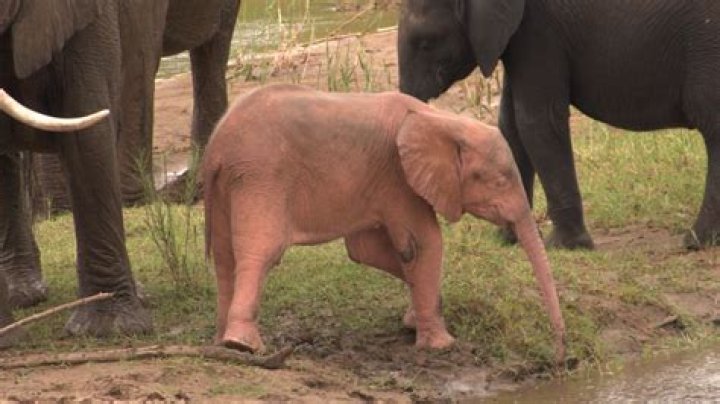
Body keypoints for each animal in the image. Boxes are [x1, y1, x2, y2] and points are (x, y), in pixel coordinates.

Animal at [202, 84, 566, 362]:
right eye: (499, 181)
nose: (564, 352)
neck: (441, 120)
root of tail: (215, 147)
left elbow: (367, 250)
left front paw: (415, 321)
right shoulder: (399, 177)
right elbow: (423, 243)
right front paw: (441, 346)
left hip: (228, 186)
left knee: (224, 256)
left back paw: (221, 343)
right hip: (261, 177)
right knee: (261, 252)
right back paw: (243, 346)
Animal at [397, 0, 720, 250]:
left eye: (425, 43)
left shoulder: (540, 29)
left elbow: (536, 120)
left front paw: (564, 246)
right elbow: (510, 125)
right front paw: (511, 240)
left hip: (707, 44)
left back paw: (696, 242)